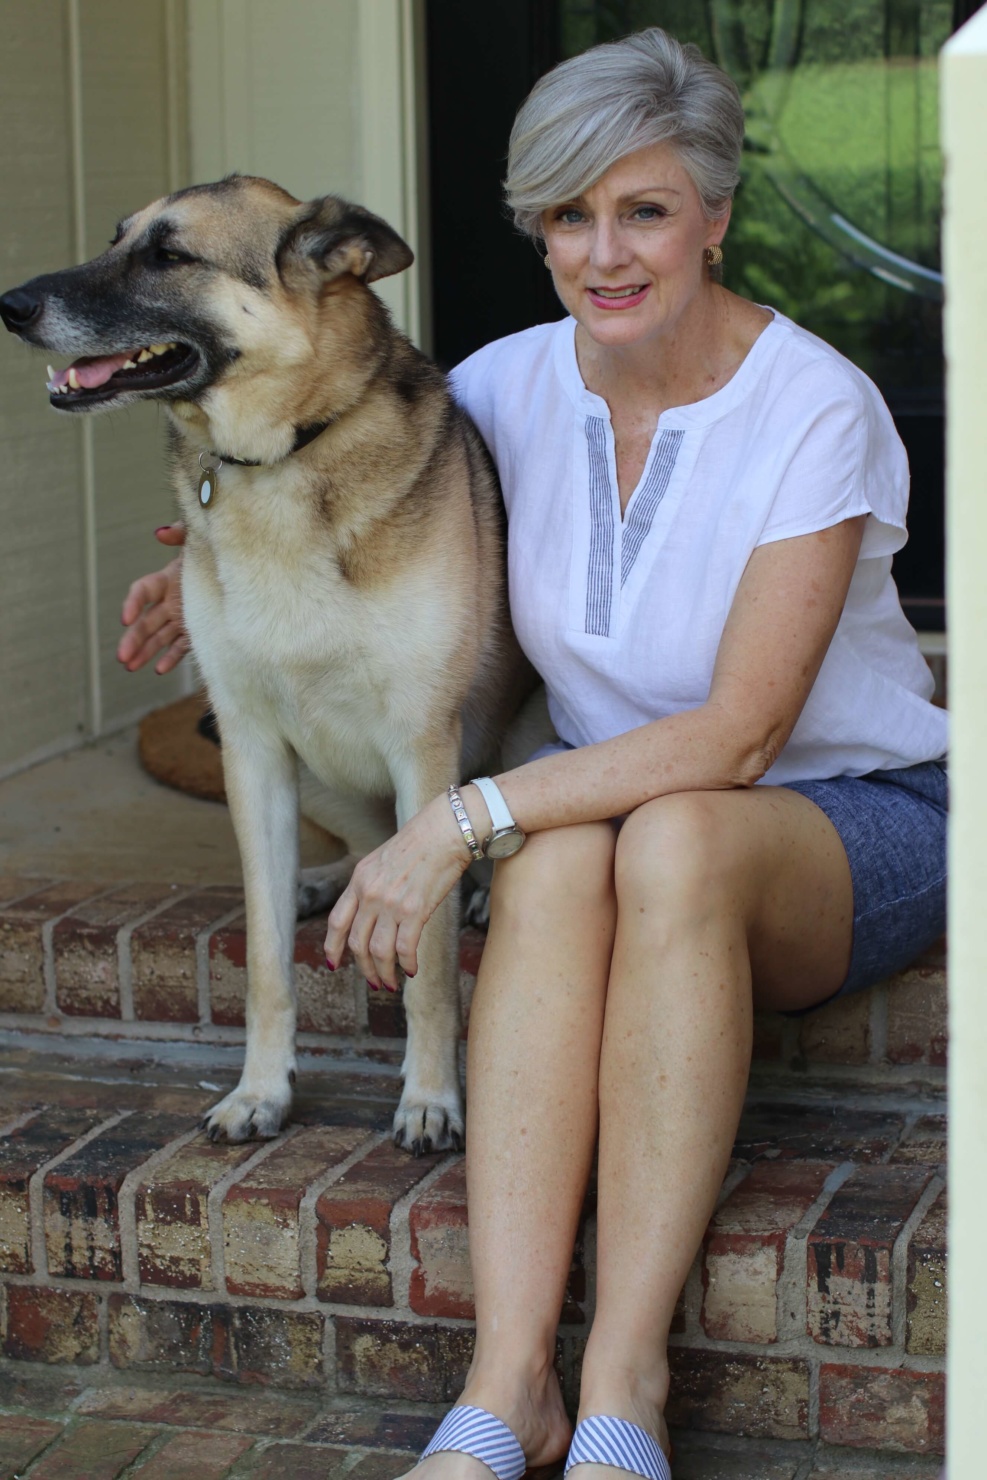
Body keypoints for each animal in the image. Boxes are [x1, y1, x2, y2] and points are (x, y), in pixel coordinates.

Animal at [0, 176, 547, 1154]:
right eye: (116, 239)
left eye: (169, 255)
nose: (9, 306)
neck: (284, 453)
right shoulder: (250, 747)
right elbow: (261, 961)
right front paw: (261, 1091)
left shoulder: (423, 749)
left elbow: (430, 965)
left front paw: (431, 1100)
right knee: (361, 850)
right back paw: (322, 882)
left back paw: (475, 890)